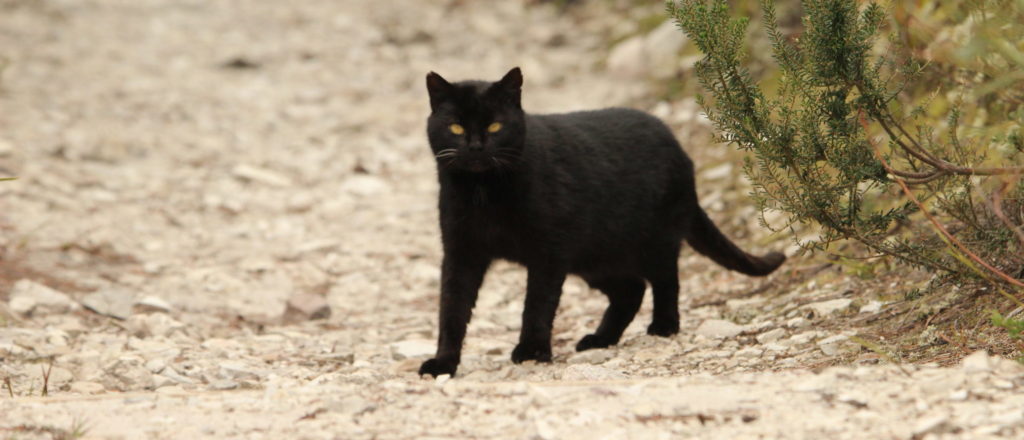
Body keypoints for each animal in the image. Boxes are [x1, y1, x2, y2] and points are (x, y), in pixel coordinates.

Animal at [415, 67, 782, 376]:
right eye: (456, 127)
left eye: (495, 126)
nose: (476, 147)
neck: (483, 192)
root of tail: (679, 149)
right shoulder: (461, 252)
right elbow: (452, 309)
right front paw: (443, 363)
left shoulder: (548, 254)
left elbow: (537, 305)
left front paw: (532, 351)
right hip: (594, 257)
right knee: (631, 290)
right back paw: (599, 339)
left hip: (652, 242)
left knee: (665, 281)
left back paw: (663, 327)